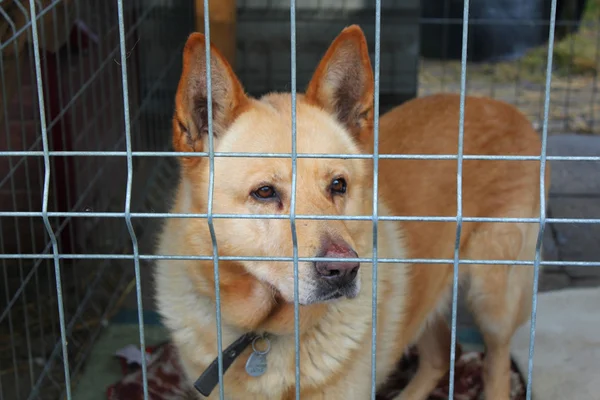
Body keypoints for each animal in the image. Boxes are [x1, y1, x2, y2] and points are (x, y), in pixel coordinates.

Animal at [154, 25, 548, 400]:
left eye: (338, 185)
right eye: (264, 192)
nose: (343, 271)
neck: (261, 332)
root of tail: (505, 108)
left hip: (492, 299)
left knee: (496, 368)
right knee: (439, 355)